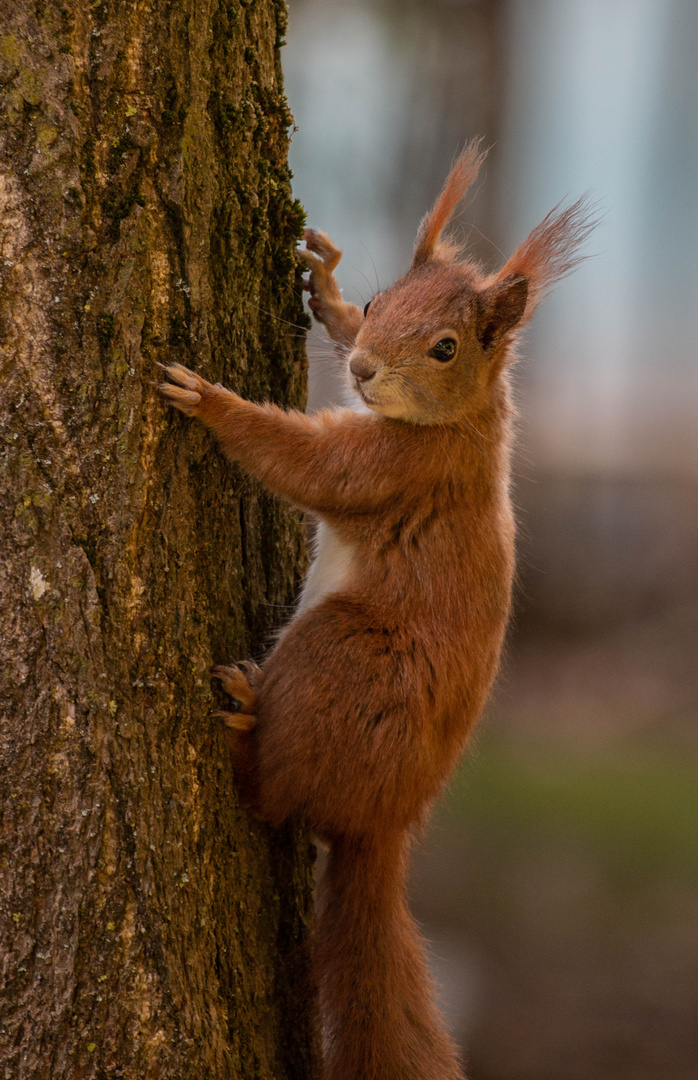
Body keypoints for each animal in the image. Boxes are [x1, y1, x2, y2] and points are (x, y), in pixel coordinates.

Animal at [158, 143, 596, 1080]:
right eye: (378, 302)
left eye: (445, 347)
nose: (361, 369)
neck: (469, 420)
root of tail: (387, 820)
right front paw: (322, 285)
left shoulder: (392, 471)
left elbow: (302, 464)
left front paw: (209, 400)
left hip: (343, 652)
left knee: (275, 803)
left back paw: (246, 728)